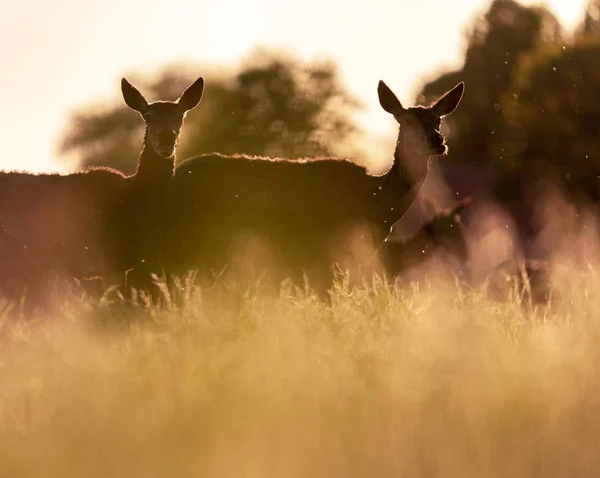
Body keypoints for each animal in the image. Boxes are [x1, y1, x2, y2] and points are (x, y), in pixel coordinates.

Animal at [158, 79, 464, 296]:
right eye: (407, 121)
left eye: (438, 120)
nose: (438, 141)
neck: (377, 203)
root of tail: (175, 175)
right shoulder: (328, 249)